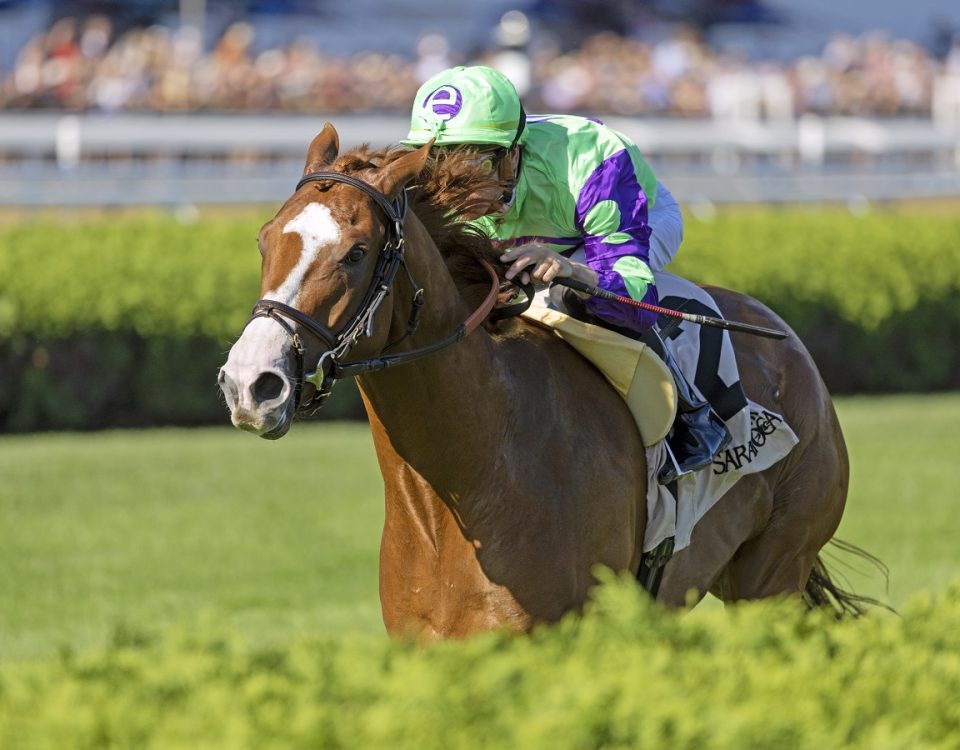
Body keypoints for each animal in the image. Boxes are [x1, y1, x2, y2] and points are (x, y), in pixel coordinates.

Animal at [219, 123, 876, 640]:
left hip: (774, 571)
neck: (466, 477)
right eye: (264, 239)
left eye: (356, 253)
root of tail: (788, 342)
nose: (252, 383)